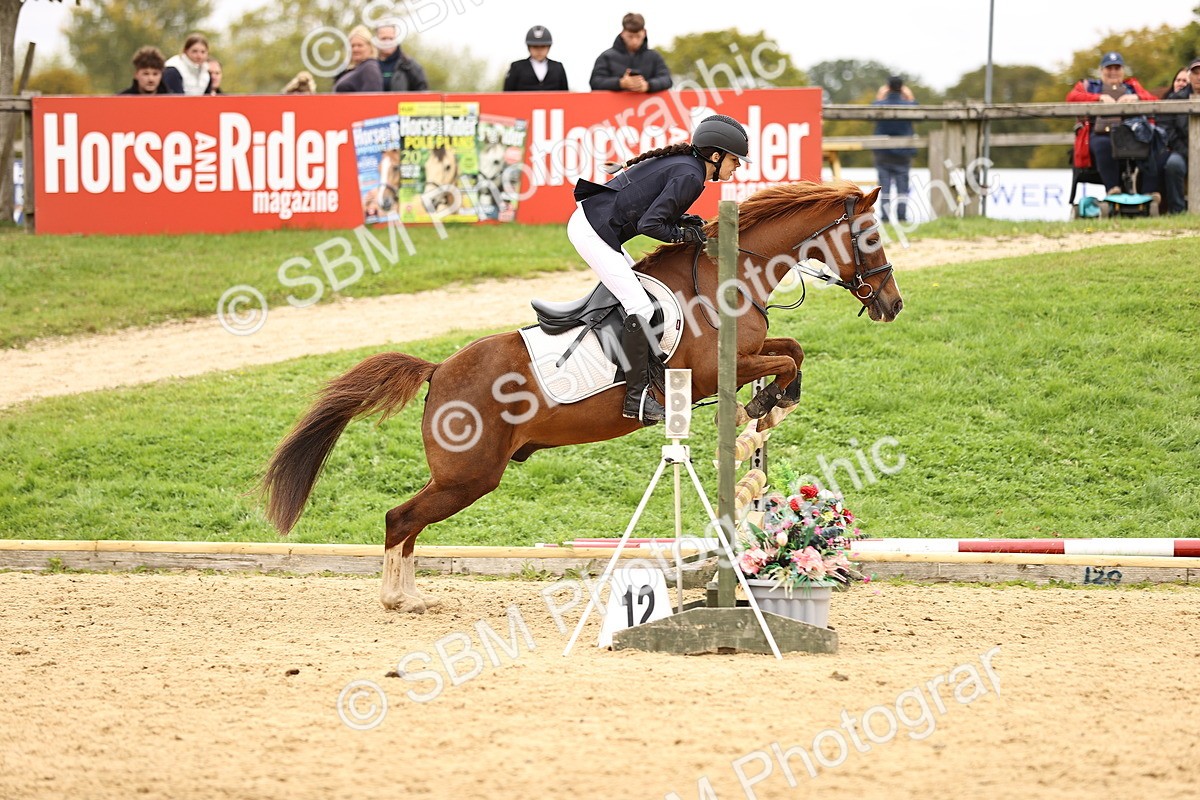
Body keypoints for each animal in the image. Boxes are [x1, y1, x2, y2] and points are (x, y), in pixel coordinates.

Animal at [260, 181, 903, 612]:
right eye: (870, 236)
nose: (892, 305)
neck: (728, 277)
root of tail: (439, 370)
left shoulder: (749, 351)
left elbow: (792, 349)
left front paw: (771, 405)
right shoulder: (711, 370)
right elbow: (783, 359)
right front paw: (766, 405)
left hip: (463, 477)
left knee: (408, 522)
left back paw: (408, 596)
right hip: (470, 476)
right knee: (400, 518)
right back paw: (401, 600)